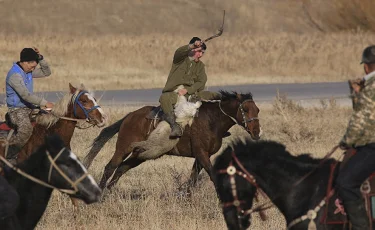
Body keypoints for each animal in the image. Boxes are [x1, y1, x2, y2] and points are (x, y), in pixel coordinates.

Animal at [83, 90, 262, 190]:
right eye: (246, 109)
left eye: (257, 109)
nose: (257, 132)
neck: (212, 120)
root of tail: (129, 116)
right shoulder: (202, 154)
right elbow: (212, 175)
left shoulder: (200, 157)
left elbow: (192, 180)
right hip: (123, 148)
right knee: (110, 167)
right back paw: (100, 194)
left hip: (140, 154)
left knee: (121, 168)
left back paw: (109, 192)